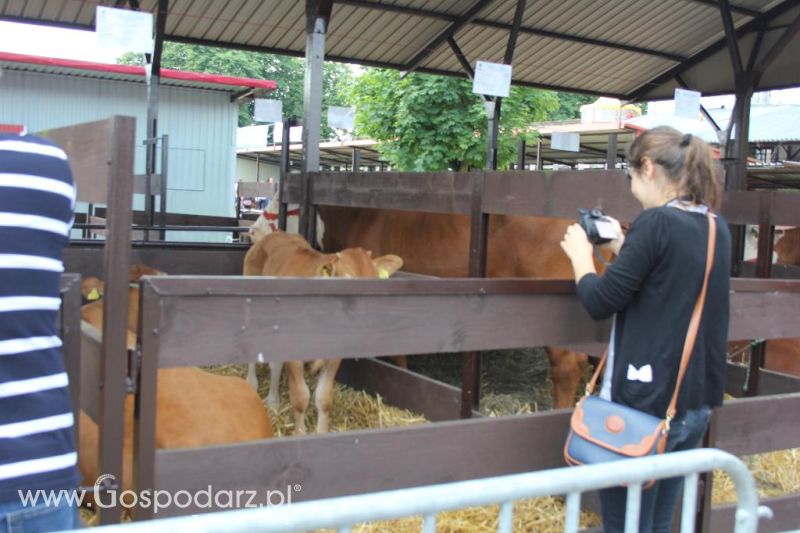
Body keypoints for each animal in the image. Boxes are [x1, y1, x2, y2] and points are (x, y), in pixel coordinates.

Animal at [242, 231, 406, 434]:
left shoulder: (334, 356)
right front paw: (300, 433)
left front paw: (321, 433)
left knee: (275, 364)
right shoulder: (294, 354)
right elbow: (300, 397)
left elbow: (323, 397)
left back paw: (273, 401)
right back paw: (251, 384)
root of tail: (274, 234)